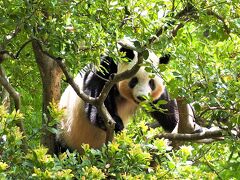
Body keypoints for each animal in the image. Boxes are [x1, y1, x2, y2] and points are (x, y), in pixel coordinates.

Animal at [57, 39, 193, 153]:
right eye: (134, 81)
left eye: (151, 83)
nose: (142, 97)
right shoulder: (105, 66)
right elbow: (97, 98)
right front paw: (116, 122)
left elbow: (165, 107)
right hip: (65, 133)